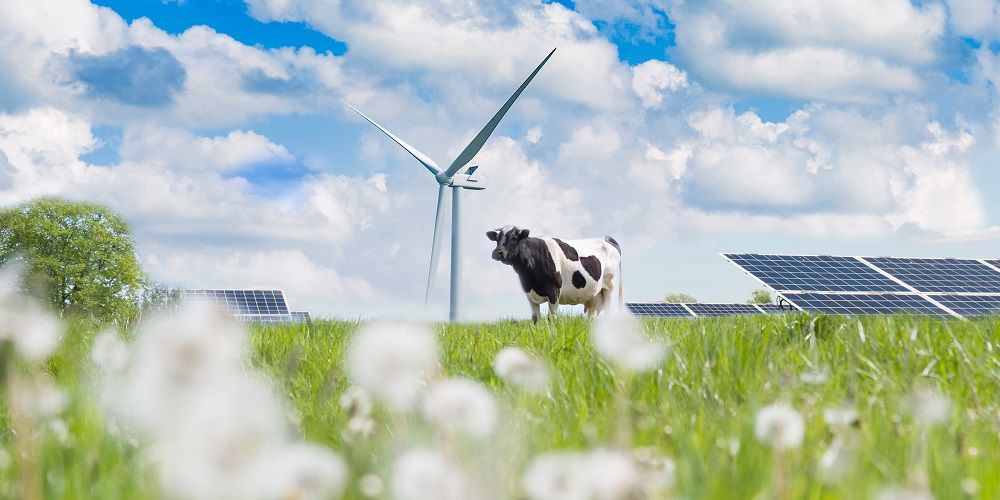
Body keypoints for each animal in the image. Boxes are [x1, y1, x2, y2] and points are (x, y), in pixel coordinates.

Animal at [488, 227, 620, 324]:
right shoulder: (529, 292)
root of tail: (608, 242)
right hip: (593, 295)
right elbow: (535, 318)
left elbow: (552, 317)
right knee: (591, 315)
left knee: (608, 312)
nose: (497, 252)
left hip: (609, 286)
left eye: (514, 237)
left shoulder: (554, 290)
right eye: (497, 239)